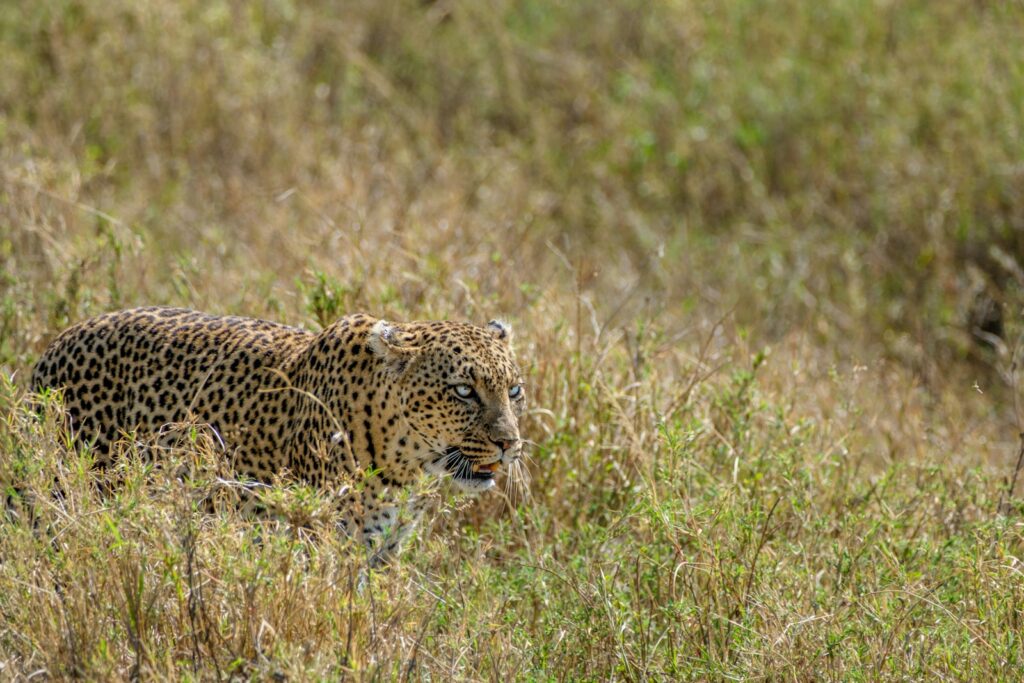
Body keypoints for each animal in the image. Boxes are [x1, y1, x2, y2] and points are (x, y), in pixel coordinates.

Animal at [30, 307, 525, 564]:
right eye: (463, 391)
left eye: (514, 390)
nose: (509, 445)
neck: (406, 465)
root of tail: (56, 344)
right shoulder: (320, 544)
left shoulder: (381, 552)